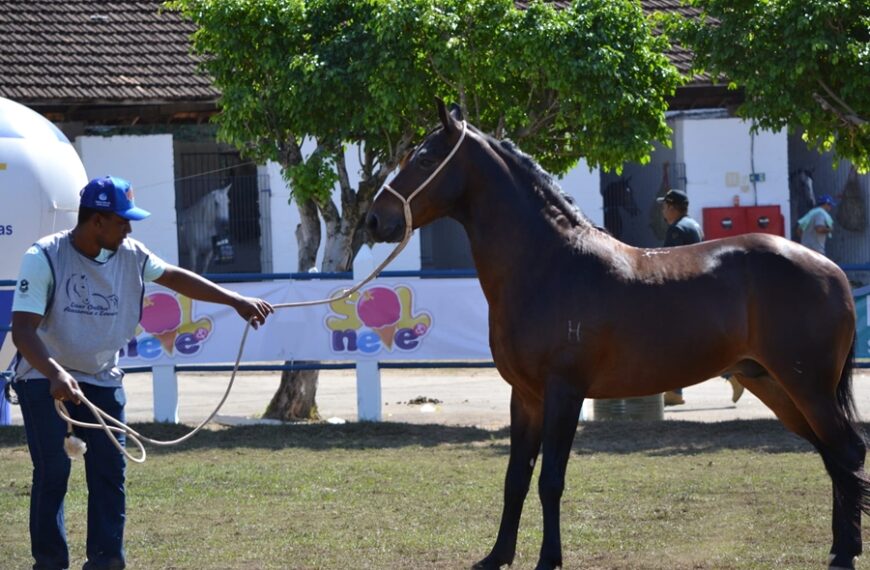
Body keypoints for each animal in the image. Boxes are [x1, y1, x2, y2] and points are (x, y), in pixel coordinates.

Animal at [366, 101, 867, 570]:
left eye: (426, 159)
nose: (375, 219)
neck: (548, 265)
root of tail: (833, 271)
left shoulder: (564, 392)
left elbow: (550, 480)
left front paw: (549, 558)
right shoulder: (525, 396)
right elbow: (515, 478)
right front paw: (497, 555)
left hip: (807, 386)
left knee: (847, 450)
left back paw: (846, 552)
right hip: (772, 384)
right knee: (832, 454)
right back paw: (839, 548)